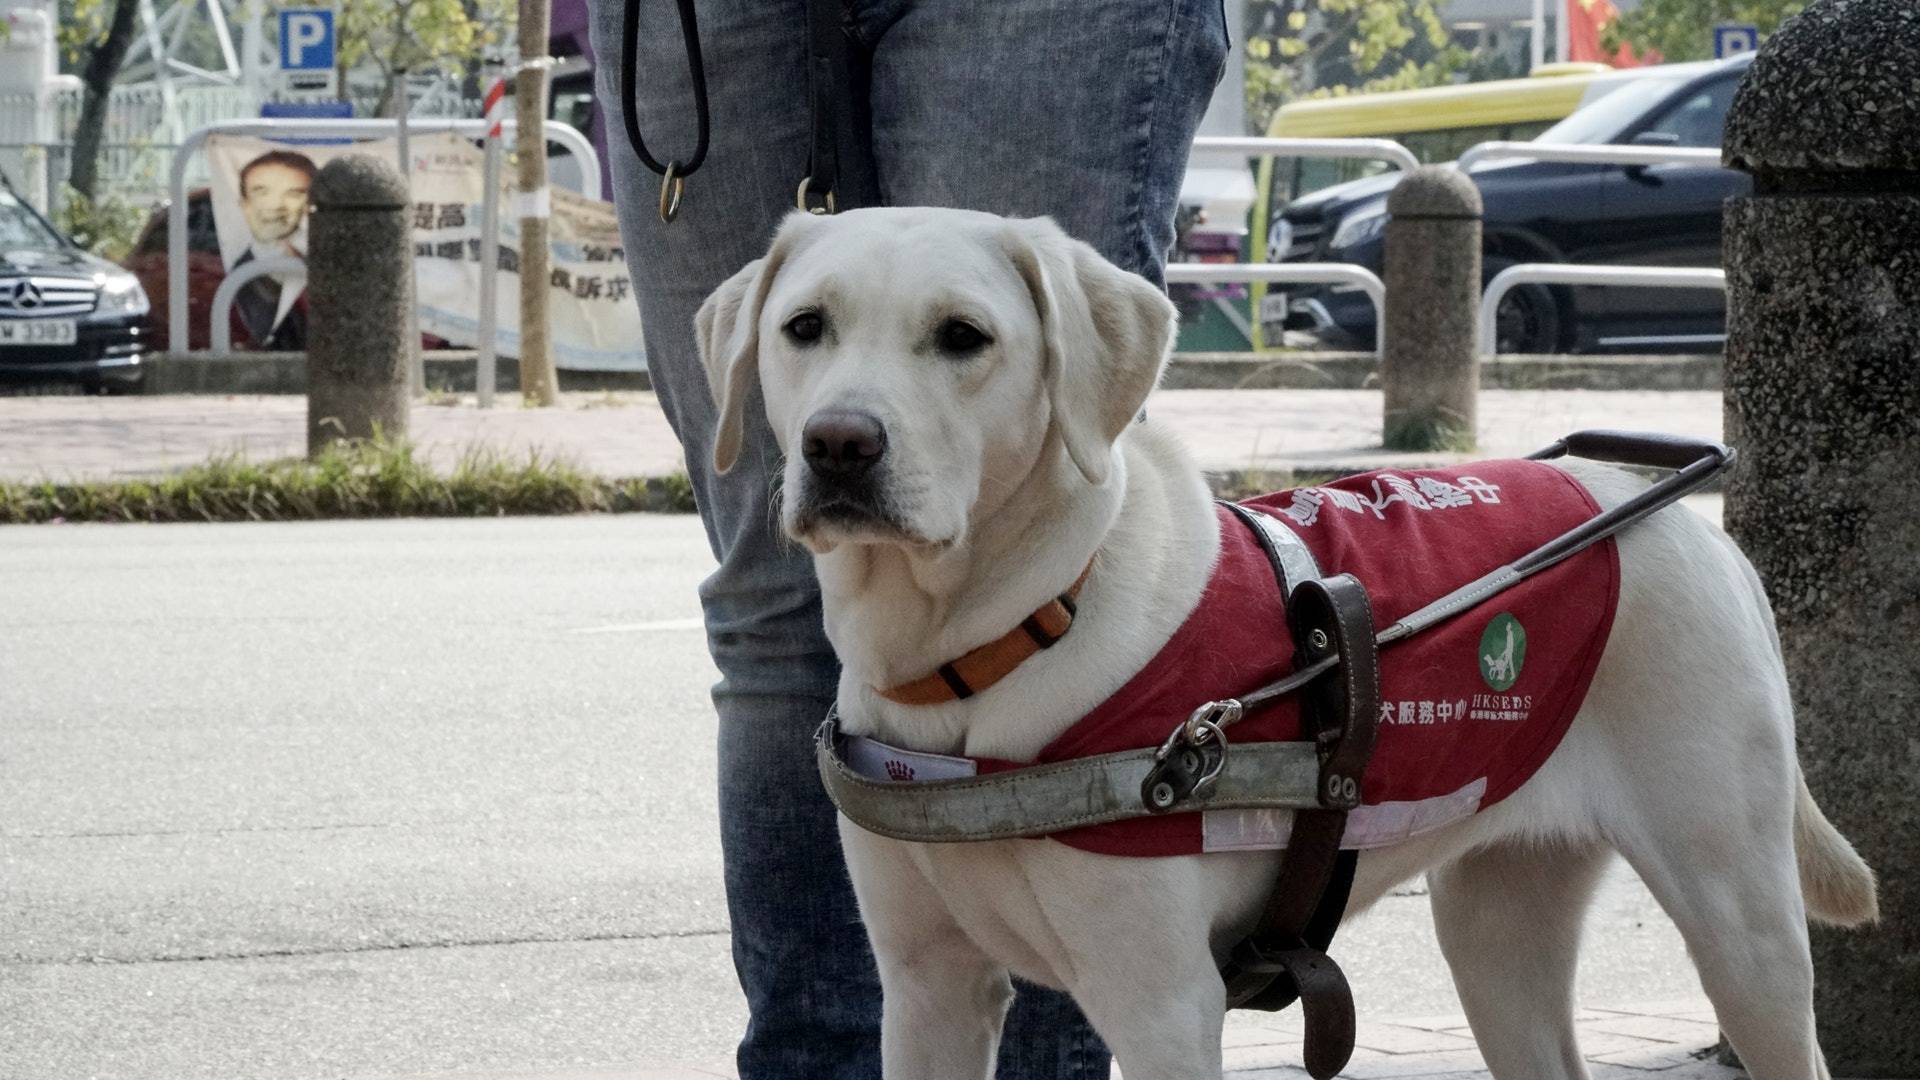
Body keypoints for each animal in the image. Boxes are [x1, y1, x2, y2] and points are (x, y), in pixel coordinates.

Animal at [695, 205, 1873, 1068]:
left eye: (963, 338)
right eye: (804, 327)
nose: (839, 444)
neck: (988, 647)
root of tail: (1665, 506)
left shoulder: (1162, 1004)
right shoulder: (927, 987)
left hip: (1741, 917)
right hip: (1499, 925)